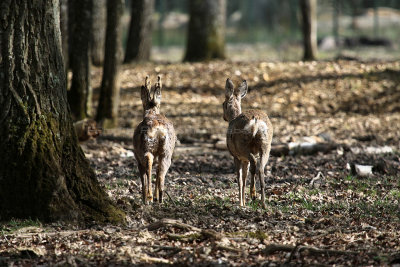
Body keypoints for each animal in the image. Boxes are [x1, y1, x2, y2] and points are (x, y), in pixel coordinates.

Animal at [134, 76, 176, 206]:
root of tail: (158, 130)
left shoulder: (137, 158)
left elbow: (143, 178)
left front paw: (144, 198)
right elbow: (157, 174)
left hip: (145, 149)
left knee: (148, 166)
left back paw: (149, 197)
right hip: (166, 153)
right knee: (161, 174)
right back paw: (160, 199)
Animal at [223, 78, 274, 209]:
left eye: (223, 104)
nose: (224, 117)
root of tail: (255, 121)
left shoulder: (236, 156)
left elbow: (240, 179)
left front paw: (241, 203)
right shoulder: (244, 159)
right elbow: (245, 177)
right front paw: (244, 202)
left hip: (242, 145)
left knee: (255, 163)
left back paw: (253, 194)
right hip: (266, 145)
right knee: (261, 168)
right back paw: (263, 203)